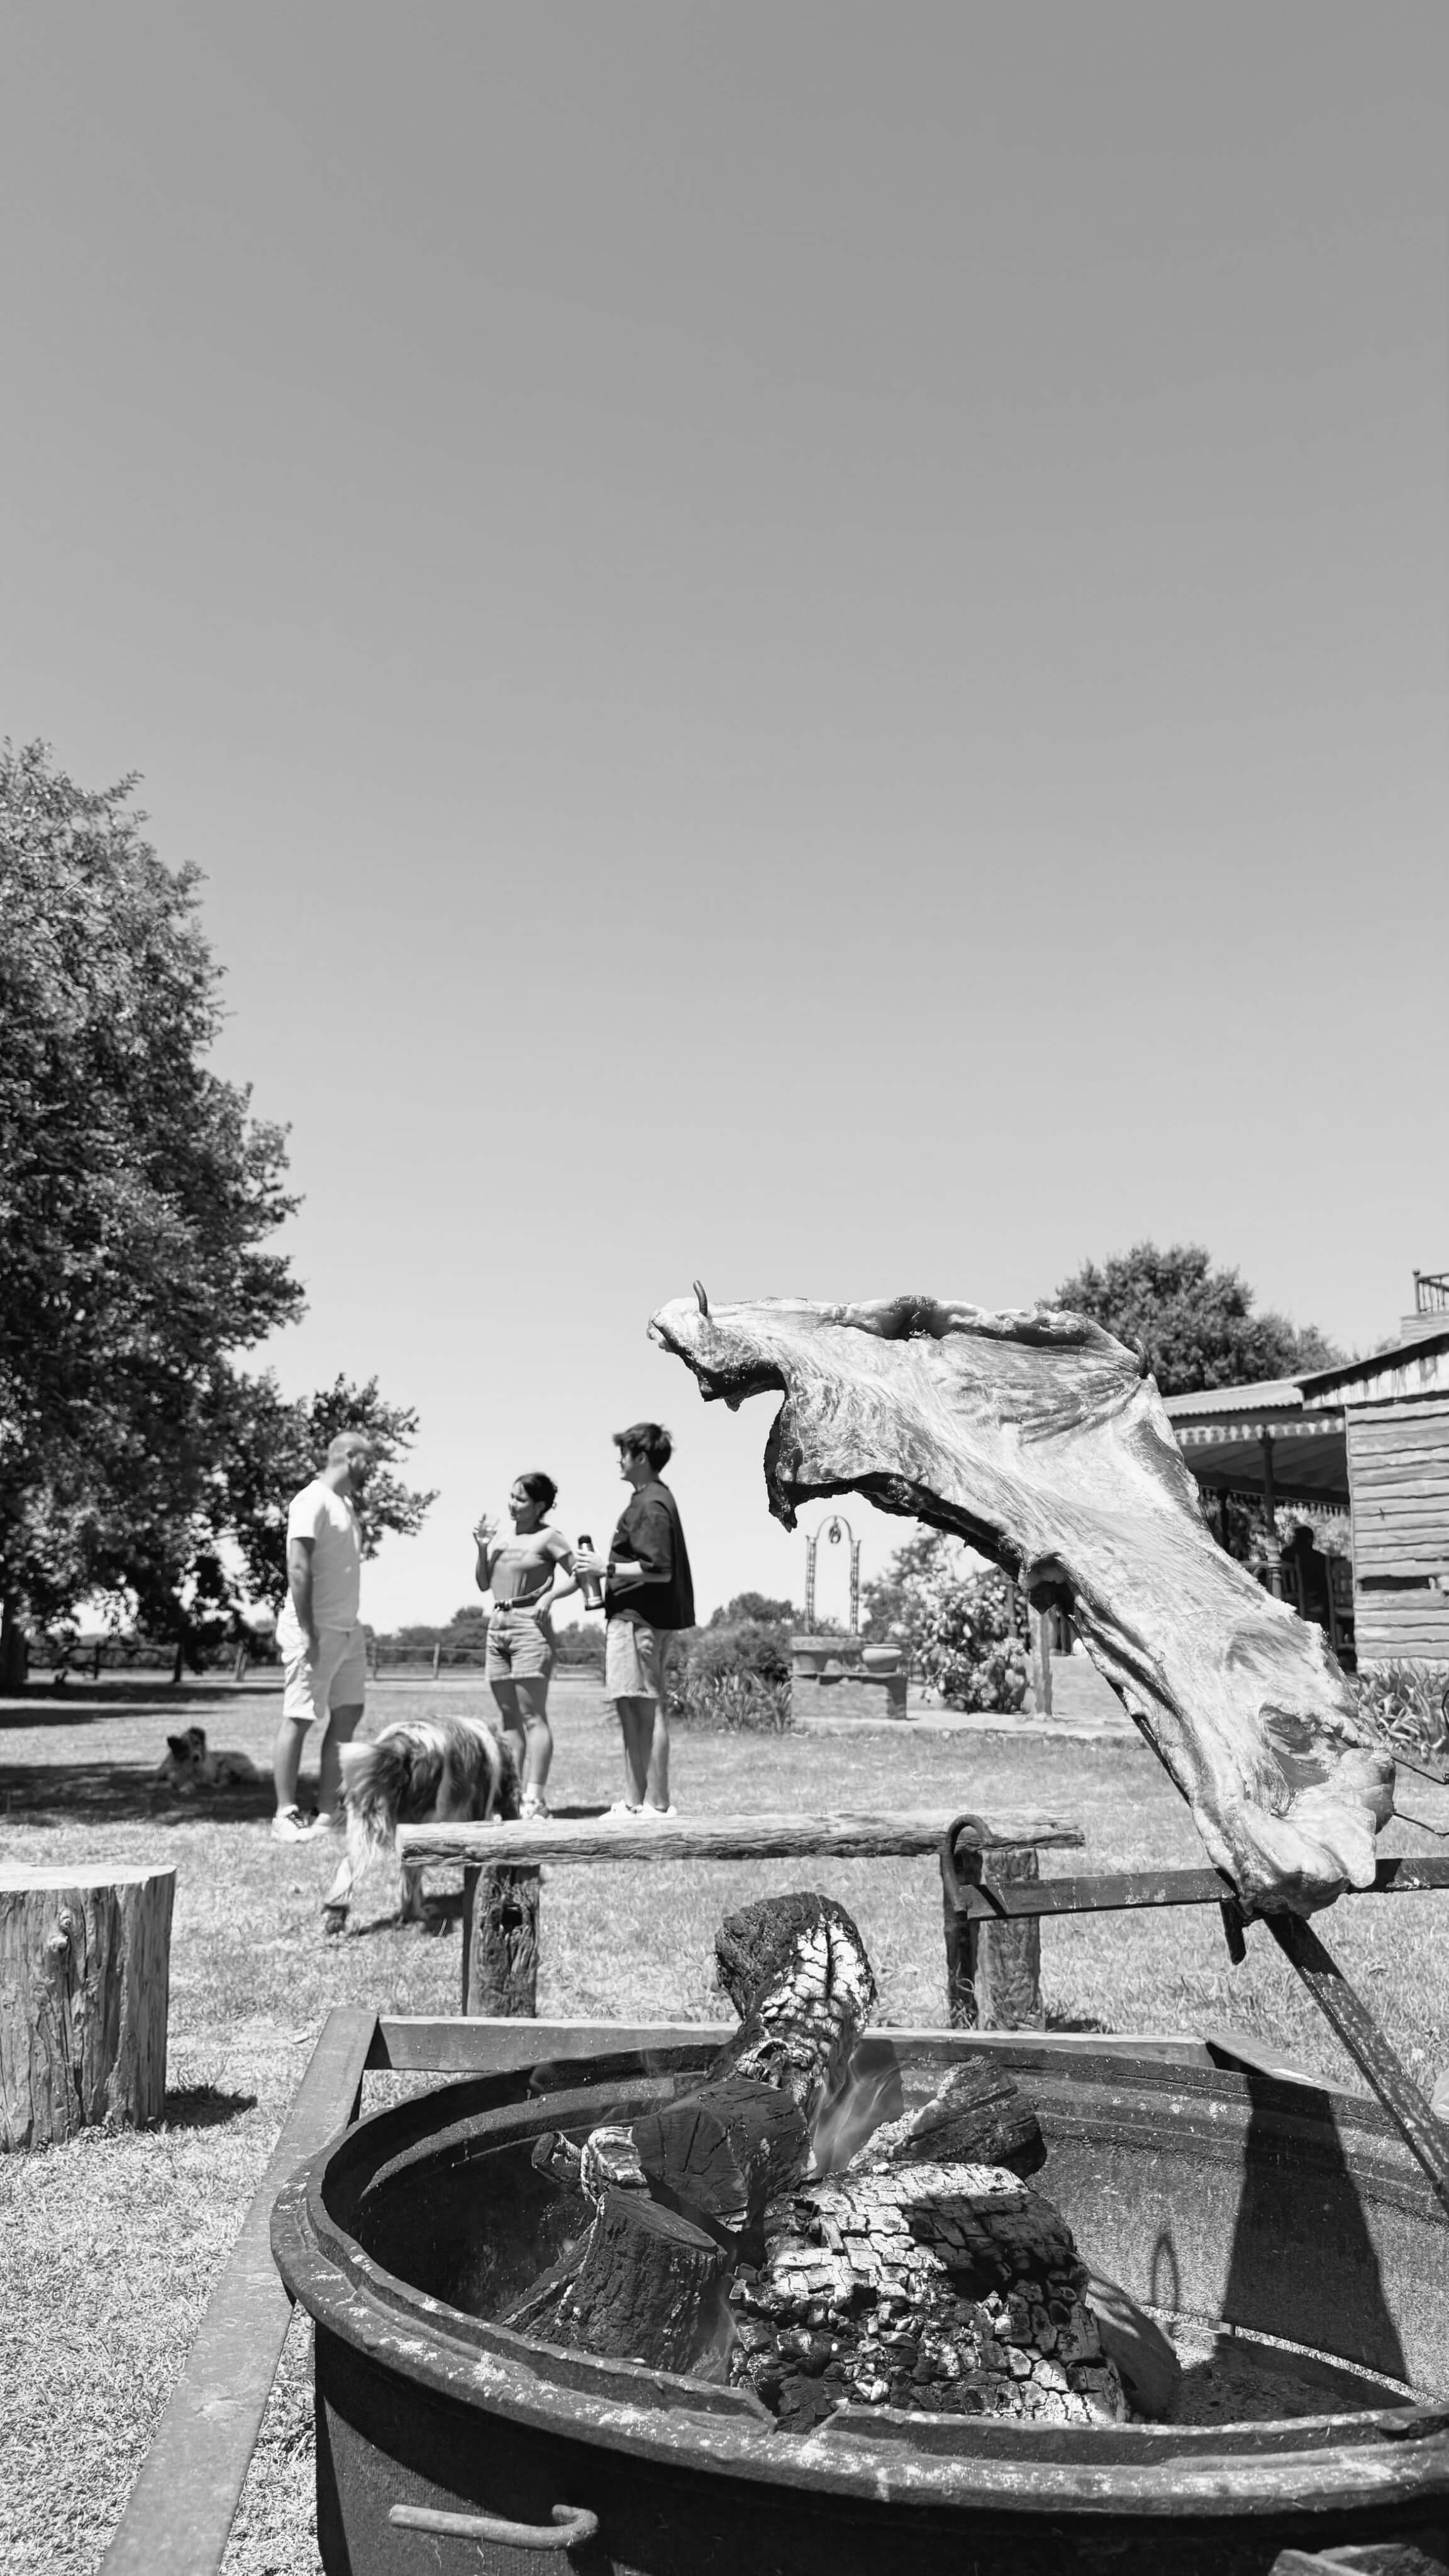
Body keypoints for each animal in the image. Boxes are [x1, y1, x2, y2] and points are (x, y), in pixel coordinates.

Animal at [157, 1725, 261, 1792]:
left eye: (197, 1743)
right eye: (185, 1747)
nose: (196, 1757)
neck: (190, 1767)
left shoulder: (200, 1778)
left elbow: (191, 1783)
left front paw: (186, 1788)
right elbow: (168, 1782)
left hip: (226, 1764)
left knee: (225, 1782)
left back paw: (213, 1785)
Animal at [325, 1714, 521, 1928]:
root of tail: (401, 1744)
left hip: (365, 1818)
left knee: (349, 1865)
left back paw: (335, 1915)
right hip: (415, 1829)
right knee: (410, 1876)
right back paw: (417, 1913)